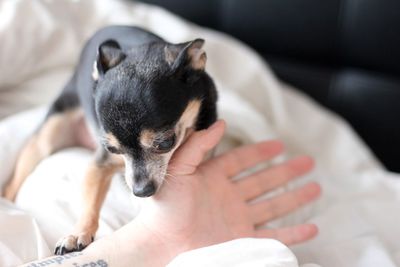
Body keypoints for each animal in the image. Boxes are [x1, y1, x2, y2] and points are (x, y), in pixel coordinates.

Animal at [2, 26, 216, 256]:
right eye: (112, 149)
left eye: (166, 143)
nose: (141, 191)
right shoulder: (99, 165)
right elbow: (89, 202)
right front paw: (78, 233)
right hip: (47, 135)